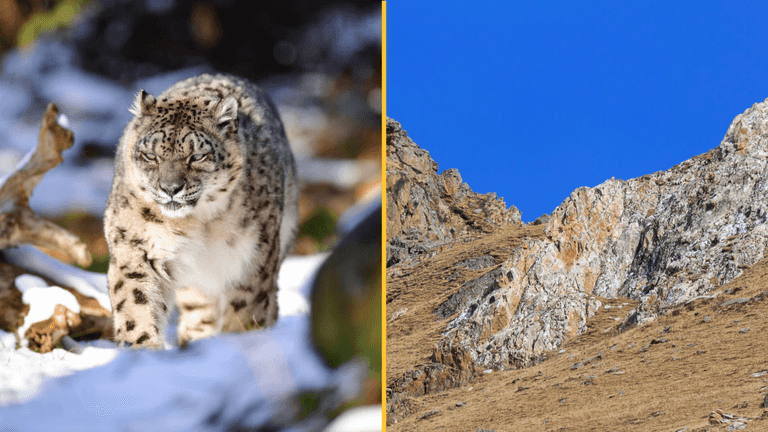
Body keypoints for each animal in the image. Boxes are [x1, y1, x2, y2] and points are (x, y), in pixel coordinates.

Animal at [104, 73, 299, 348]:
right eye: (151, 155)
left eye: (197, 157)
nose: (170, 188)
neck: (195, 224)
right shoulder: (134, 245)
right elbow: (136, 306)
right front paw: (142, 350)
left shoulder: (252, 258)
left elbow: (245, 308)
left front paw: (239, 343)